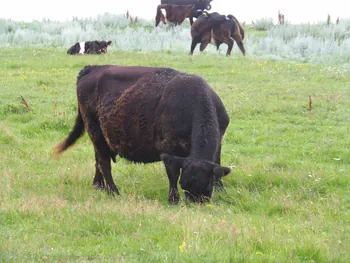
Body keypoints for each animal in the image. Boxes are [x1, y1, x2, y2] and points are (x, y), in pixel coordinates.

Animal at [52, 65, 232, 204]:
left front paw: (221, 189)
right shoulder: (167, 146)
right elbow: (172, 173)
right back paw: (113, 191)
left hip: (101, 137)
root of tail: (92, 68)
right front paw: (173, 199)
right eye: (184, 185)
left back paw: (98, 186)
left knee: (98, 160)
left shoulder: (220, 140)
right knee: (104, 162)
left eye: (207, 186)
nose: (195, 204)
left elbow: (217, 162)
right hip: (94, 129)